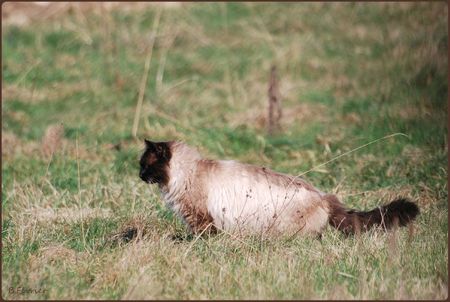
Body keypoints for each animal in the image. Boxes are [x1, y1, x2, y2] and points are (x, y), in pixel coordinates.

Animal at [139, 140, 420, 237]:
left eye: (144, 165)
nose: (139, 176)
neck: (186, 172)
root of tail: (323, 196)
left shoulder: (200, 219)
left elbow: (202, 237)